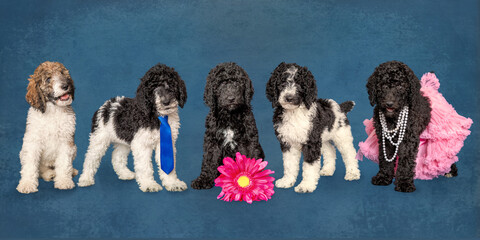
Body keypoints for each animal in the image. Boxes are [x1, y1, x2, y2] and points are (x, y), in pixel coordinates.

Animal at [16, 61, 77, 193]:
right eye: (48, 79)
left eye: (62, 73)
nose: (66, 86)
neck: (53, 110)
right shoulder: (32, 142)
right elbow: (30, 165)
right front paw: (27, 184)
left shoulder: (66, 141)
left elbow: (64, 163)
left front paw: (64, 181)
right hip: (22, 153)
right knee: (41, 169)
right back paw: (49, 174)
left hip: (74, 148)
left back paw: (70, 171)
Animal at [78, 62, 188, 192]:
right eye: (153, 88)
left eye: (171, 84)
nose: (166, 102)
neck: (157, 116)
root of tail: (106, 105)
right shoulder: (142, 145)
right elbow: (145, 166)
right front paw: (149, 184)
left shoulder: (166, 142)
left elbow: (168, 164)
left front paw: (173, 183)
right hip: (99, 138)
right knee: (90, 158)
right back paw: (85, 179)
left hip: (123, 141)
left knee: (117, 157)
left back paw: (125, 174)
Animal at [191, 62, 264, 190]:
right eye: (220, 84)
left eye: (238, 82)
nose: (231, 98)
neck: (230, 116)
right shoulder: (212, 141)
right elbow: (209, 160)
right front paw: (203, 180)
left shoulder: (249, 139)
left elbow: (251, 157)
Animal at [266, 62, 360, 193]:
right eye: (282, 83)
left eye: (300, 84)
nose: (289, 97)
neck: (294, 113)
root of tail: (340, 107)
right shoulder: (288, 143)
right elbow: (289, 164)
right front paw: (287, 181)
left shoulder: (311, 143)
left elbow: (309, 166)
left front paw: (305, 186)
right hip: (323, 137)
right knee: (330, 150)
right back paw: (328, 169)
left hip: (342, 135)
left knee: (350, 153)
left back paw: (353, 173)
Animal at [368, 61, 432, 192]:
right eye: (383, 86)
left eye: (400, 87)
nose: (389, 103)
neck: (393, 119)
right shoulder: (384, 139)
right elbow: (385, 158)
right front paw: (384, 177)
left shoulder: (408, 140)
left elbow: (406, 161)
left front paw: (404, 182)